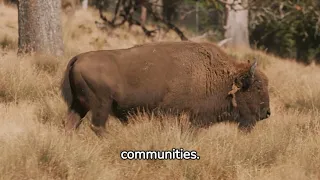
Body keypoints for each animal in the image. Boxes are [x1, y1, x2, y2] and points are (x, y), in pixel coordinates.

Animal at [60, 41, 270, 136]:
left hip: (79, 105)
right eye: (258, 86)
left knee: (70, 124)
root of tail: (77, 58)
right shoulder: (178, 115)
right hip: (101, 106)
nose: (267, 113)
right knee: (98, 126)